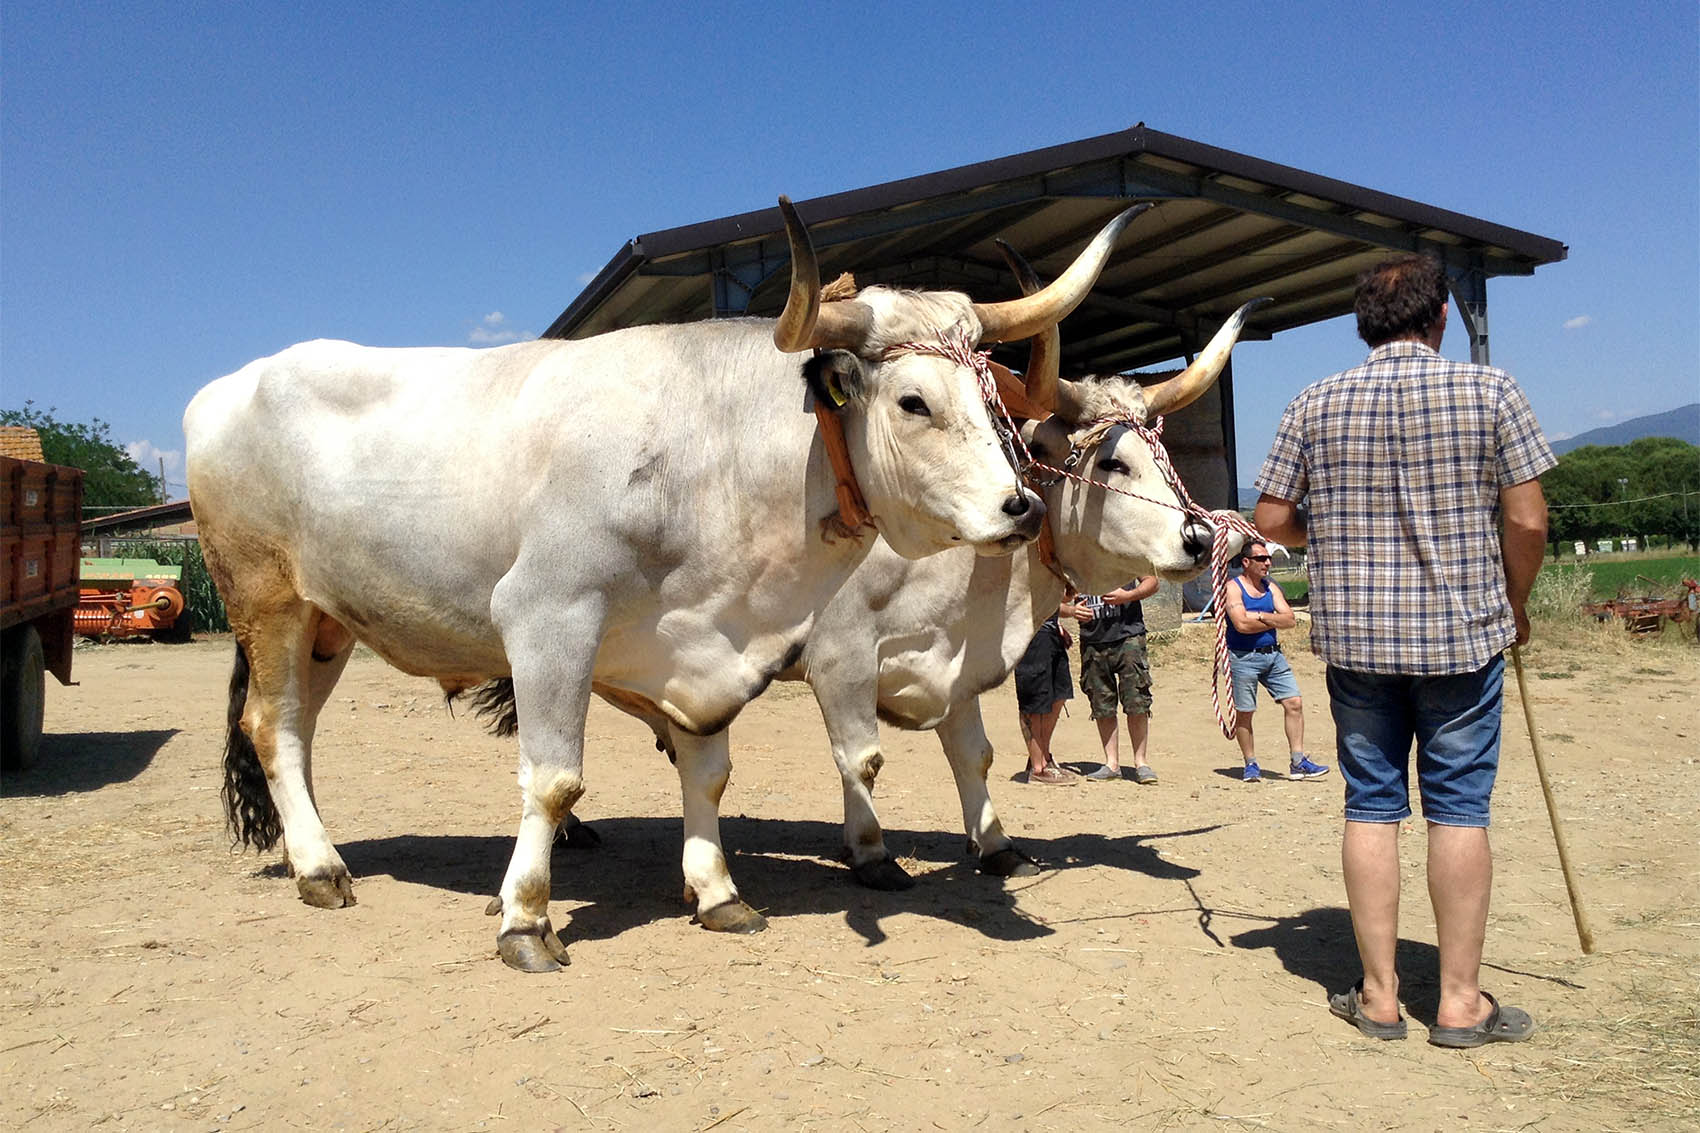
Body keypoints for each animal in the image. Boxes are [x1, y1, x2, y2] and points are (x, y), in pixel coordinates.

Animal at [184, 196, 1144, 972]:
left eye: (991, 398)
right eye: (913, 402)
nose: (1021, 506)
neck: (711, 454)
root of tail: (226, 387)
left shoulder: (701, 645)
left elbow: (708, 771)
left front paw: (717, 891)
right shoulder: (547, 617)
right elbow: (553, 780)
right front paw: (525, 920)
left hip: (327, 622)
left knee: (297, 728)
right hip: (266, 598)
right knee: (274, 728)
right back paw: (321, 867)